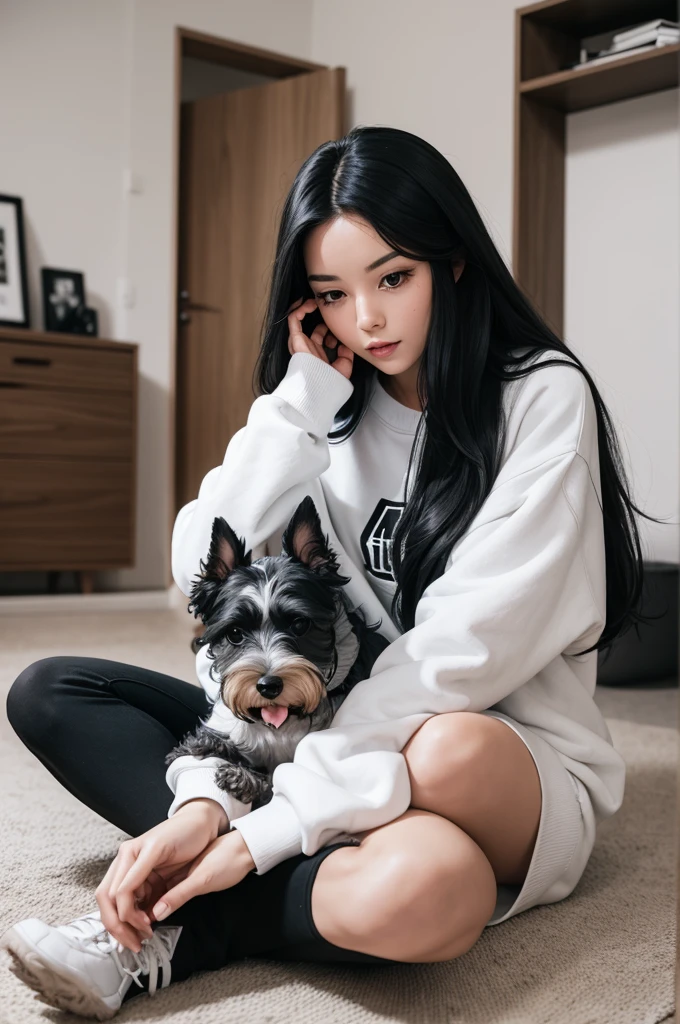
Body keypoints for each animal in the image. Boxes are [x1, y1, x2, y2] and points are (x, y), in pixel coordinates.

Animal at [164, 497, 387, 815]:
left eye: (300, 625)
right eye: (235, 633)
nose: (268, 686)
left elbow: (282, 781)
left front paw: (242, 779)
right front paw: (214, 754)